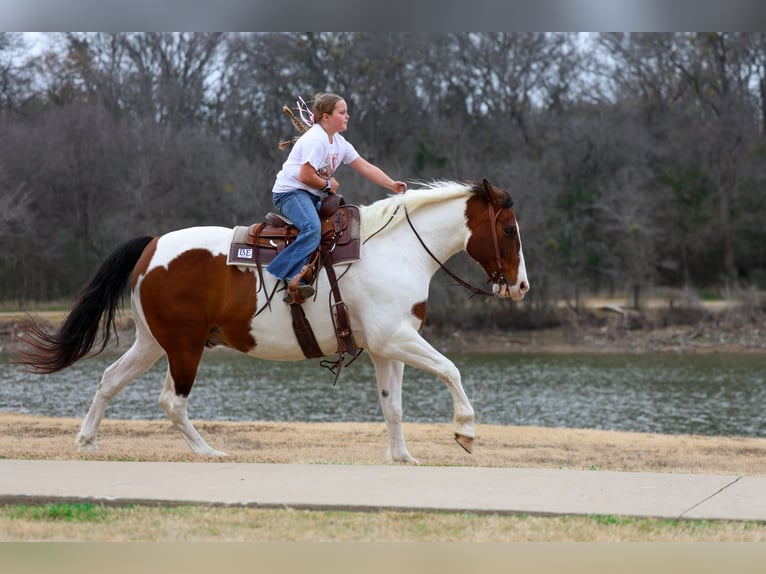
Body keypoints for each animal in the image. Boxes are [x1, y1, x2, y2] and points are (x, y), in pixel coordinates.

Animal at [15, 178, 529, 463]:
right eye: (508, 229)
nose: (521, 286)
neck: (397, 249)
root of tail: (153, 244)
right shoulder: (397, 339)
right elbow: (451, 369)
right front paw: (465, 431)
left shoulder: (388, 348)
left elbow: (393, 406)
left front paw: (403, 456)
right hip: (184, 347)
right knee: (172, 401)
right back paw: (208, 451)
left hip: (151, 343)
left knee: (109, 380)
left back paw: (87, 440)